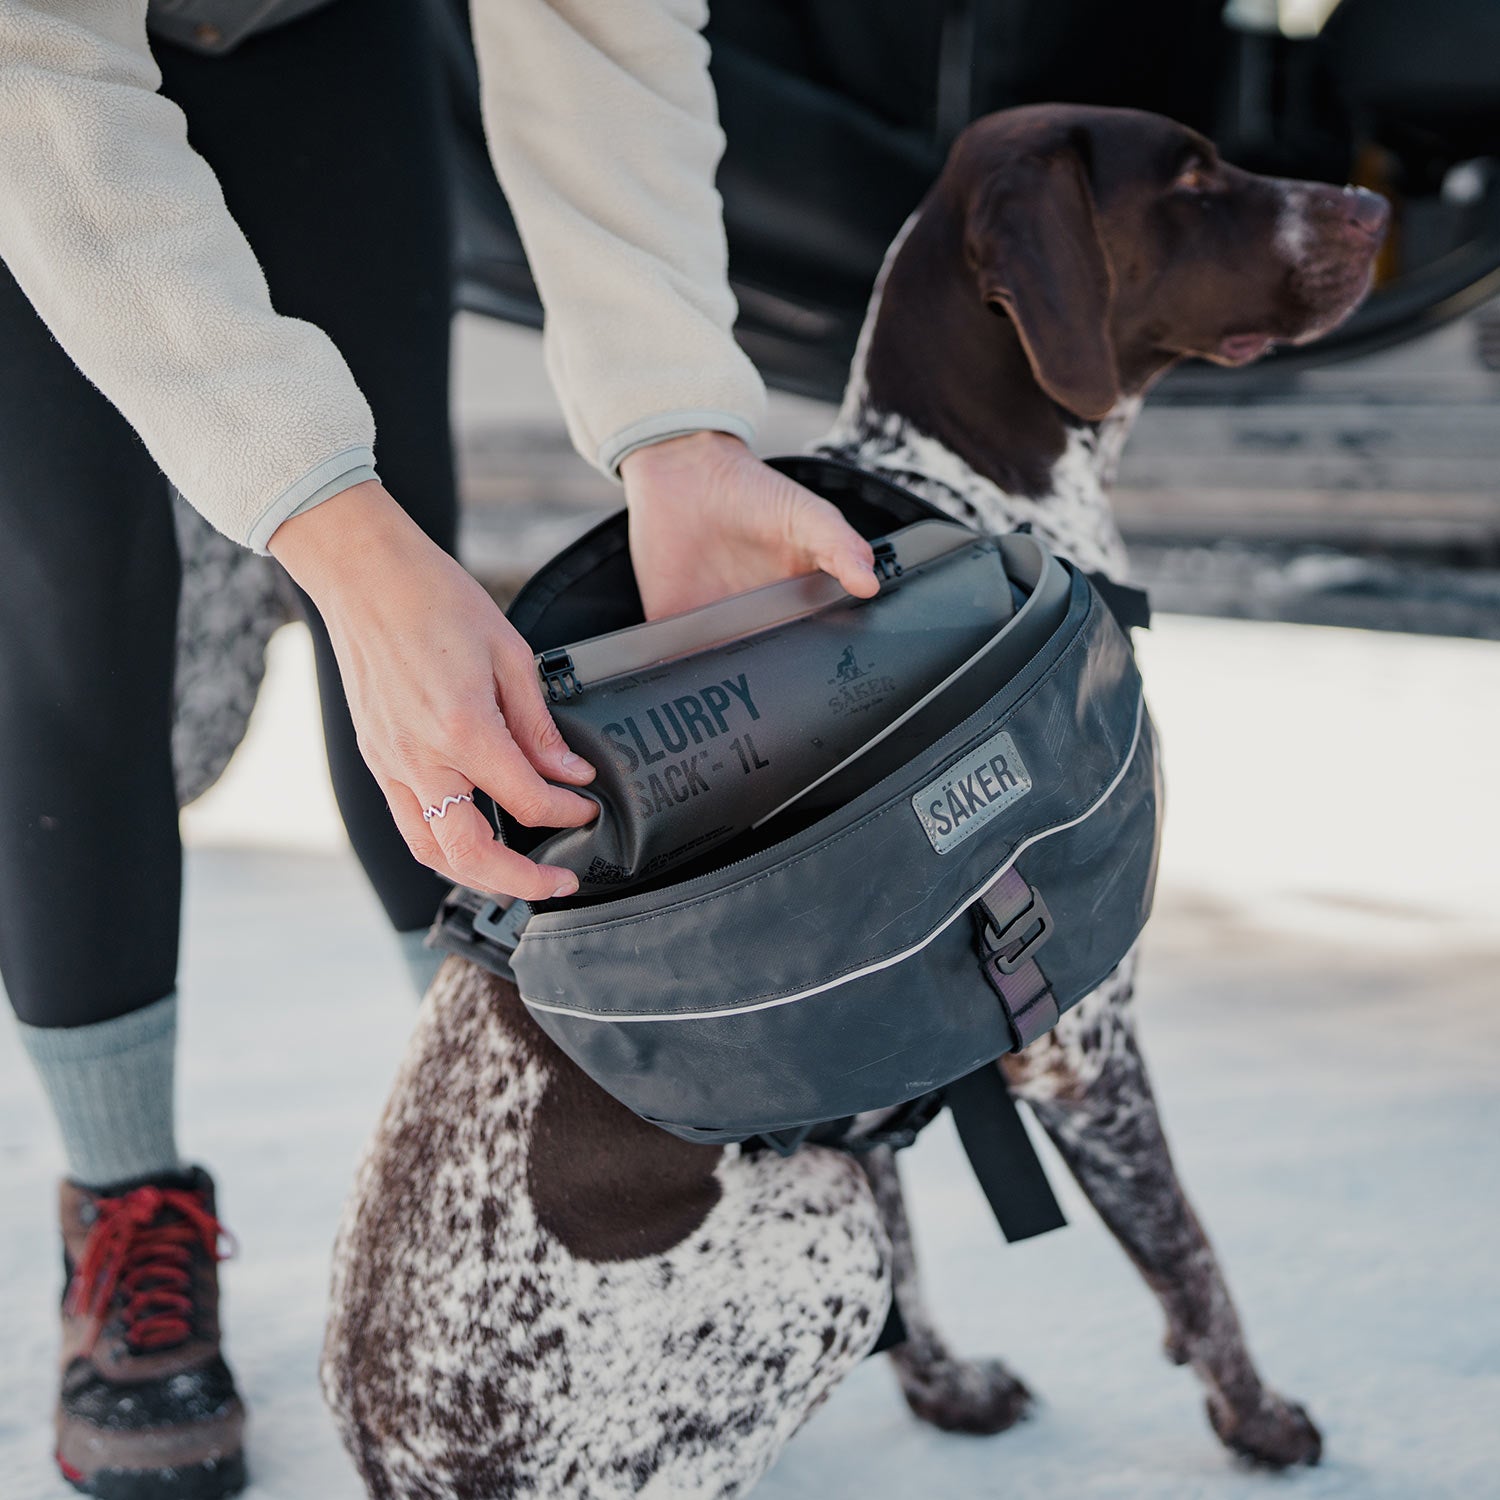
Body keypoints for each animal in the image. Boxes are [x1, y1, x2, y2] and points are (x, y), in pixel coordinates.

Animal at [322, 108, 1386, 1500]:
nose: (1375, 206)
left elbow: (929, 1259)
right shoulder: (1084, 1043)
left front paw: (950, 1390)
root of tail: (414, 1471)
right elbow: (1189, 1256)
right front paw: (1258, 1422)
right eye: (1197, 174)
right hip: (820, 1242)